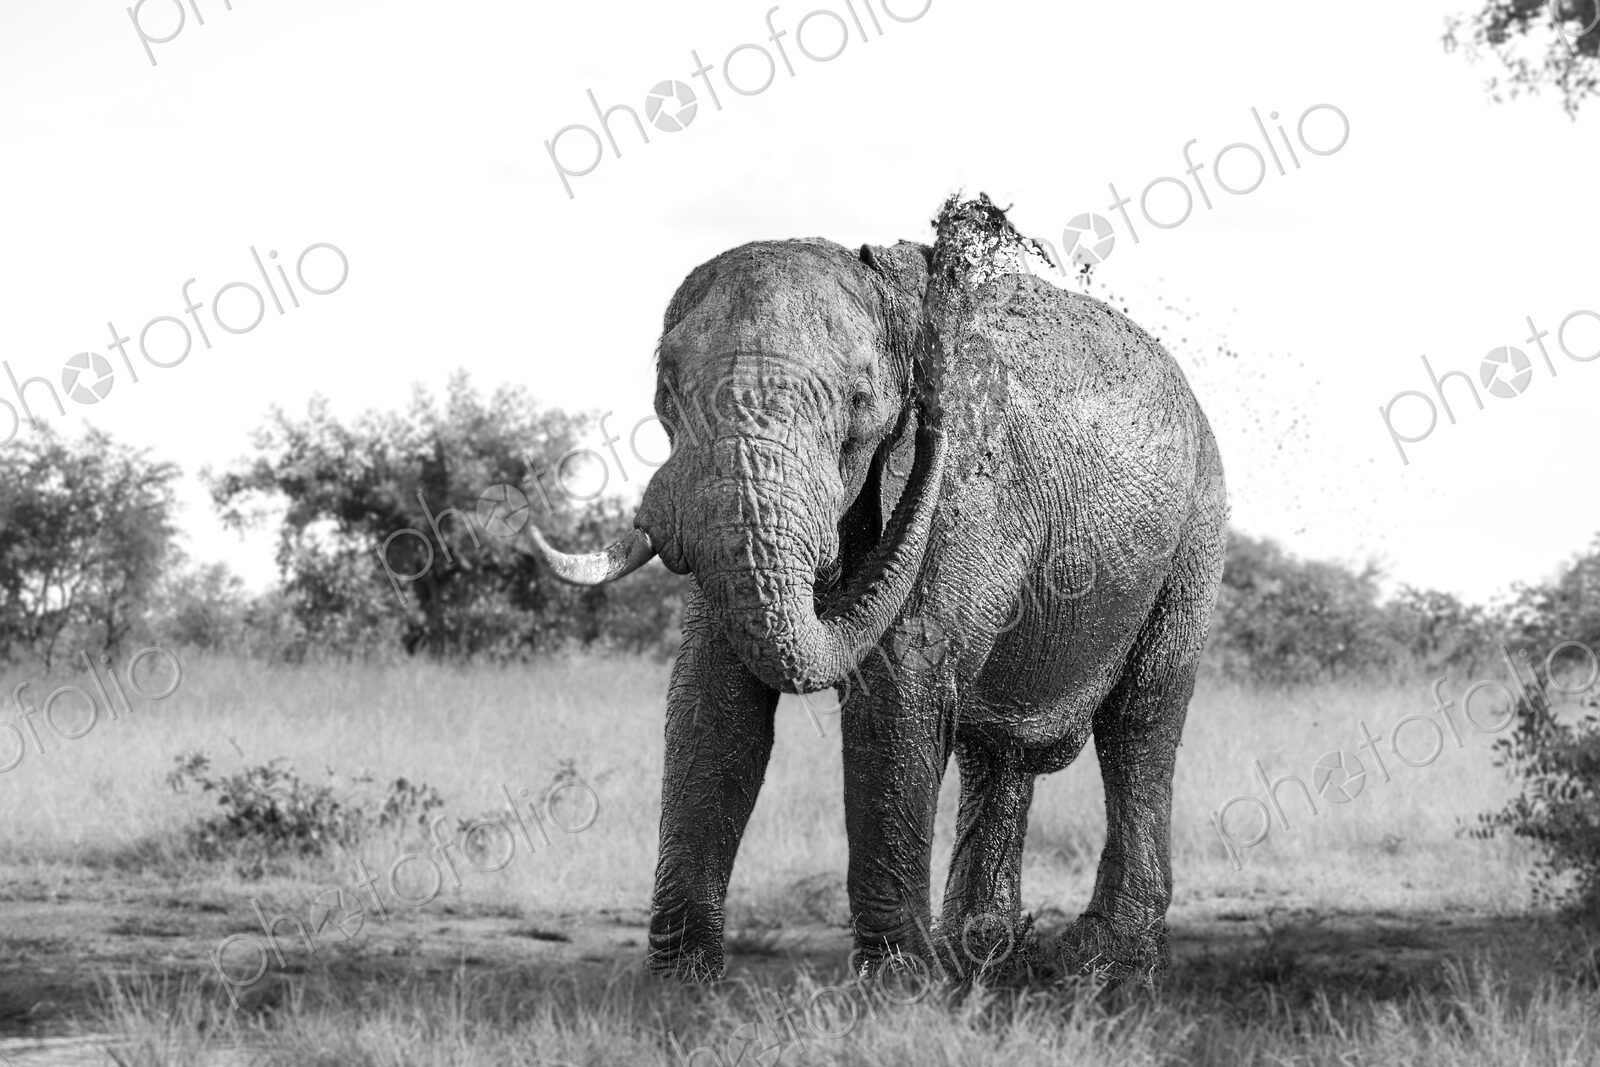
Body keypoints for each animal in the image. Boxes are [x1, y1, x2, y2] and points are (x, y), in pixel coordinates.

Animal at [529, 196, 1227, 984]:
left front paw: (896, 986)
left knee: (1141, 723)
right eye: (665, 391)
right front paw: (682, 985)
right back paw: (985, 958)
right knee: (999, 749)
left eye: (861, 406)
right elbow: (713, 701)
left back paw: (1106, 961)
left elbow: (898, 689)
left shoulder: (967, 493)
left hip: (1195, 531)